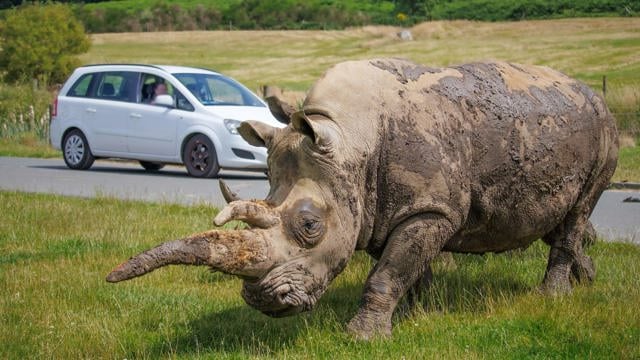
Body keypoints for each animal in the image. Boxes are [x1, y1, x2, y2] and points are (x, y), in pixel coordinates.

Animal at [107, 57, 616, 338]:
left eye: (310, 226)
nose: (264, 301)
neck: (348, 138)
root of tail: (589, 91)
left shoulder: (429, 209)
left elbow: (387, 273)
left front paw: (362, 338)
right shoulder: (386, 208)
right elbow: (406, 267)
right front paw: (419, 313)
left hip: (604, 131)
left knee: (579, 209)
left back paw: (551, 298)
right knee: (564, 219)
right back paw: (585, 281)